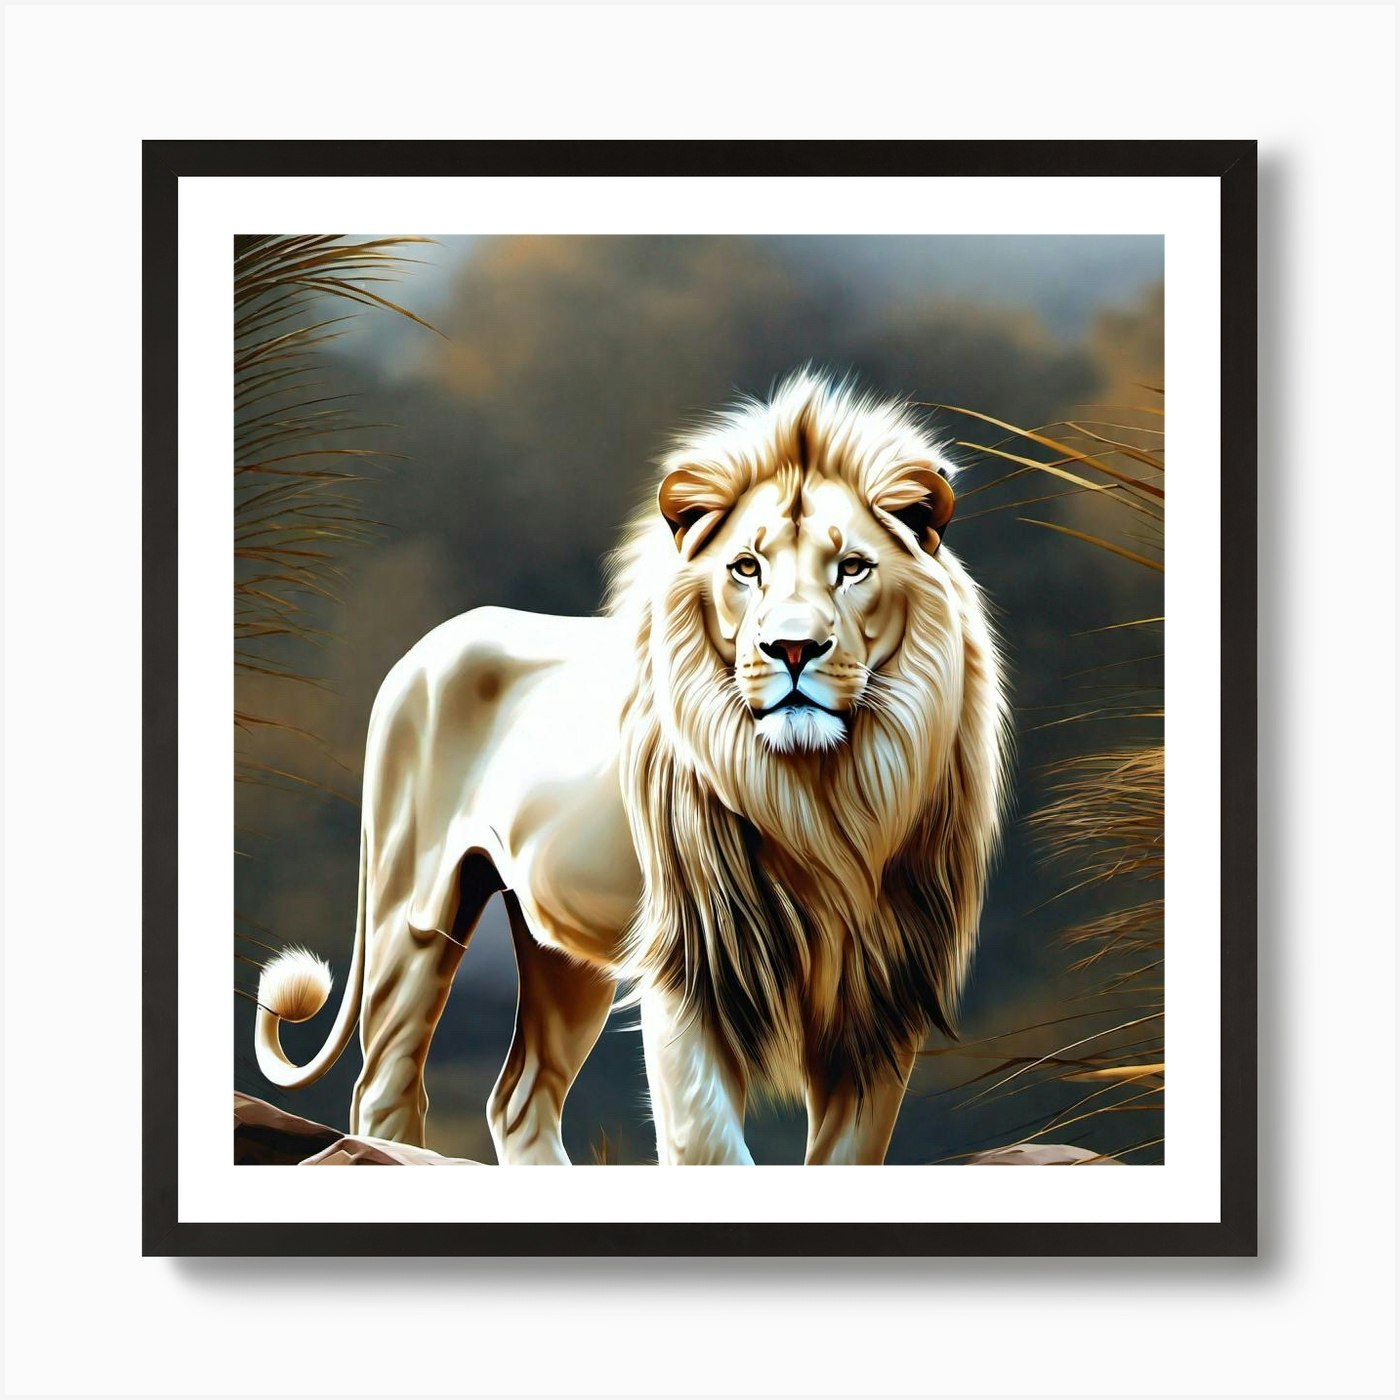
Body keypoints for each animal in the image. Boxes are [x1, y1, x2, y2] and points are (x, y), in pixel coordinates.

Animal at [254, 370, 1010, 1165]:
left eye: (853, 568)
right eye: (747, 568)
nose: (793, 648)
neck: (815, 798)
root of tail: (423, 647)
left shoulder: (885, 993)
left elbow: (847, 1155)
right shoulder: (693, 970)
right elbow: (709, 1145)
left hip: (562, 951)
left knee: (518, 1099)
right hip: (416, 911)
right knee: (384, 1084)